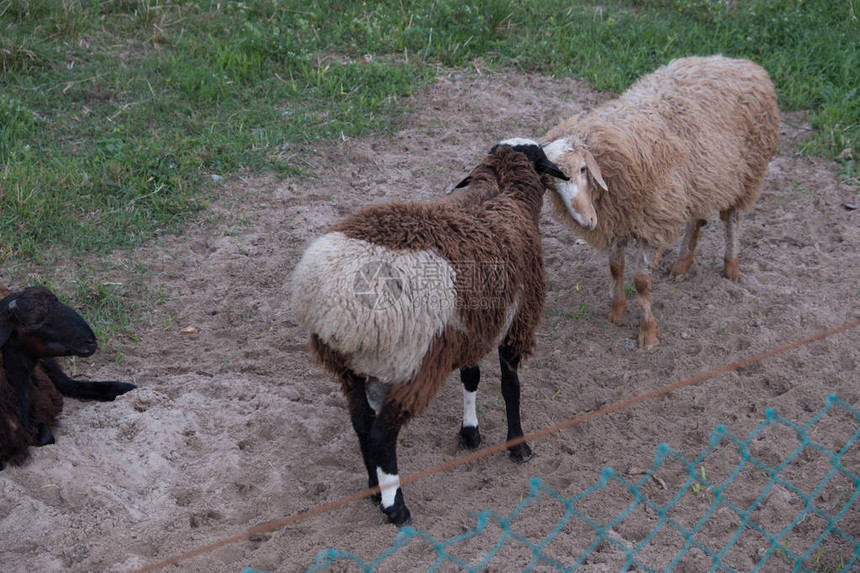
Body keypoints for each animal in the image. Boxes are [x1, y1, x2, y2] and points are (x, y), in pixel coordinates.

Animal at [292, 137, 568, 524]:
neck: (502, 189)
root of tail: (335, 302)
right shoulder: (520, 318)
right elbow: (510, 386)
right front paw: (518, 446)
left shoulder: (470, 325)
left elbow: (471, 377)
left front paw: (470, 433)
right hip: (415, 361)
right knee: (382, 435)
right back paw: (396, 507)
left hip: (348, 367)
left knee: (362, 422)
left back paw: (374, 489)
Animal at [544, 55, 780, 346]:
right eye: (551, 184)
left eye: (582, 169)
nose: (587, 221)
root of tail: (740, 63)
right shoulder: (619, 220)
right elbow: (615, 268)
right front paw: (617, 312)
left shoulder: (651, 221)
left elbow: (641, 281)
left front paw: (648, 333)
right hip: (698, 179)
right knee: (696, 219)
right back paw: (681, 265)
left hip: (746, 174)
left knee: (732, 220)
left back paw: (731, 268)